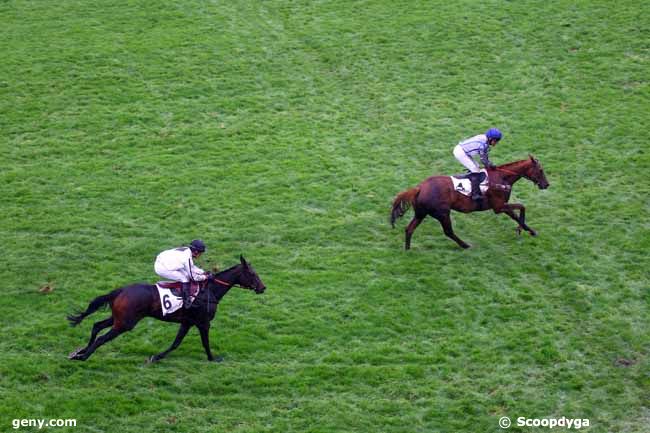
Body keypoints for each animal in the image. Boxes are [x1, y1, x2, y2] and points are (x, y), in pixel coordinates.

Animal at [67, 256, 264, 362]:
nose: (263, 288)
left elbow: (176, 343)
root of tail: (121, 290)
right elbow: (205, 343)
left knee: (97, 326)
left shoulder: (187, 322)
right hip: (125, 323)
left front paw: (156, 357)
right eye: (253, 274)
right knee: (102, 337)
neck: (210, 290)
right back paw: (83, 356)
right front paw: (212, 358)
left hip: (119, 318)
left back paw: (80, 351)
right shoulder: (203, 323)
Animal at [390, 156, 548, 250]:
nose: (546, 184)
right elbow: (522, 207)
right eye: (540, 170)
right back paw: (465, 245)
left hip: (421, 213)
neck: (502, 178)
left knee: (409, 229)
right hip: (443, 213)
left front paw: (530, 230)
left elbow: (516, 214)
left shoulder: (502, 206)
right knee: (448, 232)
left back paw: (408, 249)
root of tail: (420, 188)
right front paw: (520, 229)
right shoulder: (498, 207)